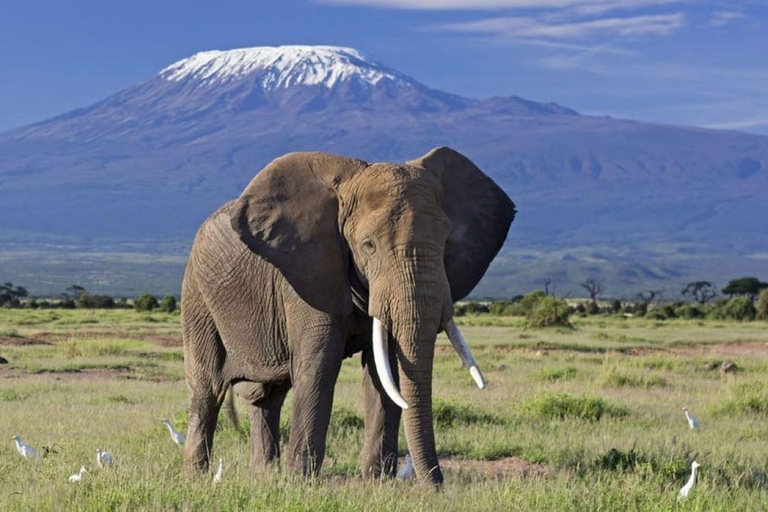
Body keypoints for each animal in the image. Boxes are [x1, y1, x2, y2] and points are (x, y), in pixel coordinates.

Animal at [181, 147, 516, 484]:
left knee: (268, 395)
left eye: (446, 242)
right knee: (208, 386)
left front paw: (378, 483)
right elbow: (320, 364)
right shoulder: (308, 272)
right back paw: (198, 476)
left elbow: (385, 369)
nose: (437, 487)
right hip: (196, 295)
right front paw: (301, 483)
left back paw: (264, 476)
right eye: (368, 245)